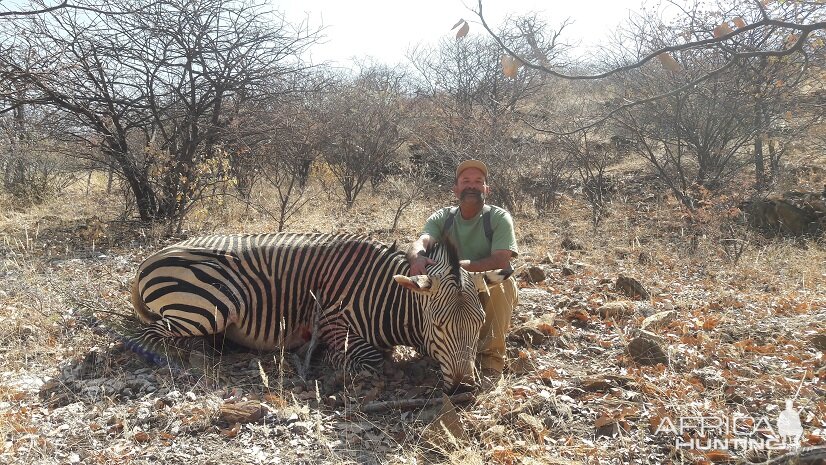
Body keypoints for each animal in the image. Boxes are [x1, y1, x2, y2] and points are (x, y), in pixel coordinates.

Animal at [130, 231, 512, 388]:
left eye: (480, 323)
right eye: (438, 325)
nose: (463, 389)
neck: (384, 295)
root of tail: (150, 258)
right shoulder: (331, 323)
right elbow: (372, 361)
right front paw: (335, 365)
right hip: (212, 307)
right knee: (144, 336)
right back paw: (182, 358)